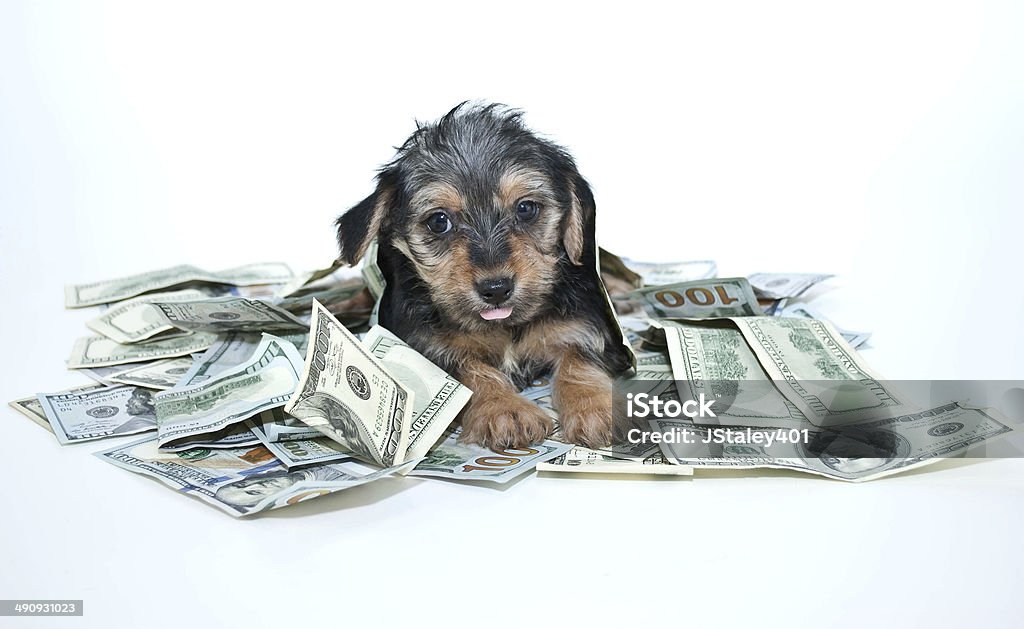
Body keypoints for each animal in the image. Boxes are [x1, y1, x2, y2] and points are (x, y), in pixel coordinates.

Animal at [335, 102, 626, 448]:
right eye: (439, 222)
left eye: (526, 208)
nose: (496, 288)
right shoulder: (428, 347)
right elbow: (470, 371)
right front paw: (505, 410)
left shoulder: (584, 324)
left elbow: (579, 359)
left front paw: (598, 408)